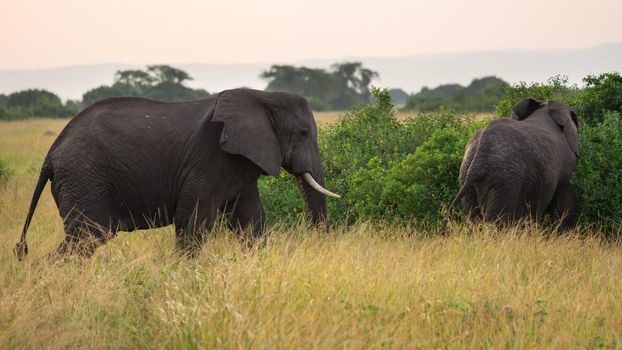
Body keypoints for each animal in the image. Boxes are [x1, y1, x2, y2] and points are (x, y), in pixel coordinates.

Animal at [13, 88, 342, 258]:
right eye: (303, 134)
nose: (321, 243)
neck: (263, 97)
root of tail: (51, 153)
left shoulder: (240, 164)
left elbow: (250, 220)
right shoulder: (208, 160)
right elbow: (194, 220)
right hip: (84, 178)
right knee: (87, 238)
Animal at [454, 98, 580, 230]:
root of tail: (480, 157)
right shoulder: (567, 167)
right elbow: (567, 194)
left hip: (467, 172)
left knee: (474, 217)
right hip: (505, 179)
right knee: (496, 221)